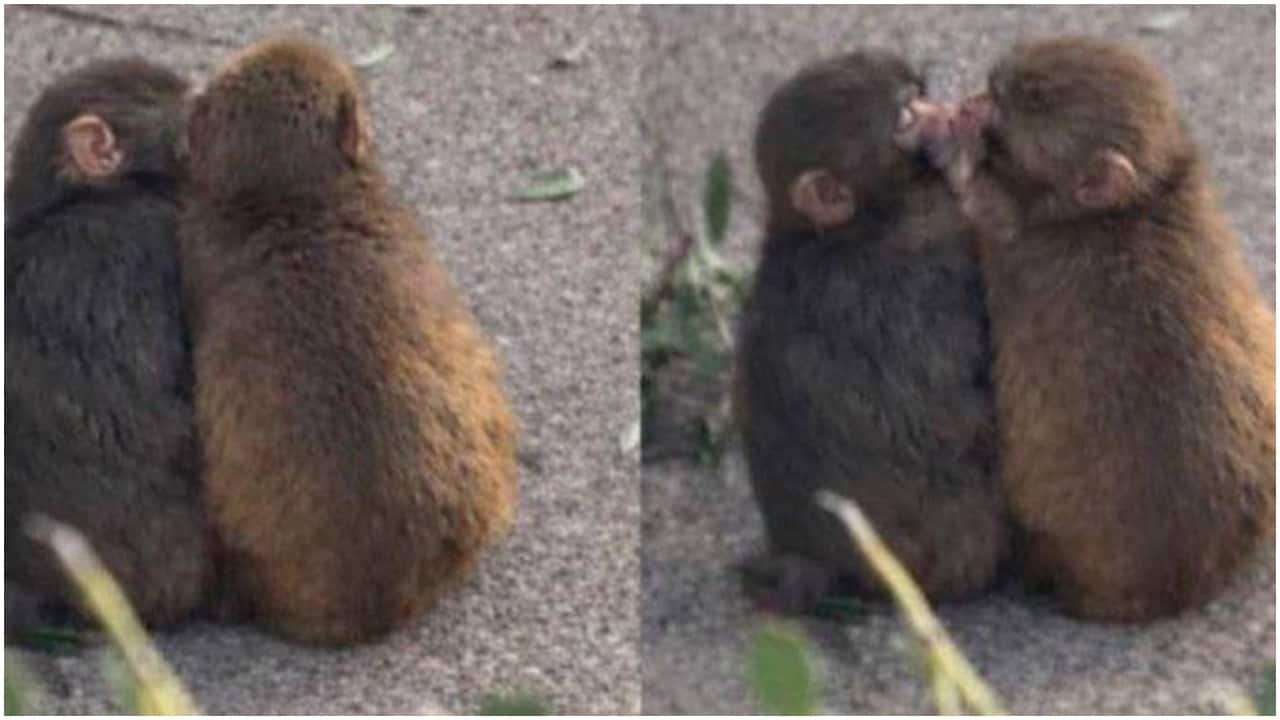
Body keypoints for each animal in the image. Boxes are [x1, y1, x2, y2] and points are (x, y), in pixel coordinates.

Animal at [932, 37, 1276, 621]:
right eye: (996, 89)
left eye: (1017, 104)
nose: (975, 101)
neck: (1131, 208)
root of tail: (1177, 586)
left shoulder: (1014, 250)